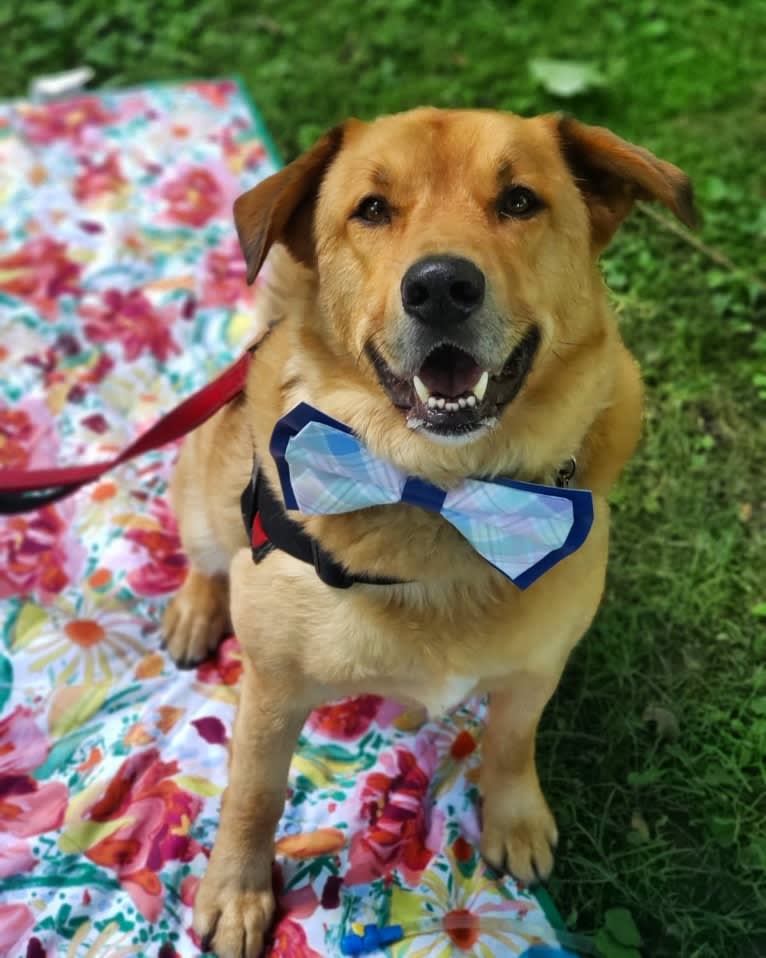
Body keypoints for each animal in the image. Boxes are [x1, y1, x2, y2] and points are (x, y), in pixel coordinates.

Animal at [160, 107, 696, 958]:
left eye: (519, 200)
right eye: (373, 209)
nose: (442, 286)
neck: (443, 494)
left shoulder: (537, 668)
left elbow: (509, 743)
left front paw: (513, 820)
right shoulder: (273, 691)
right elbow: (252, 794)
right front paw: (237, 893)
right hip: (206, 499)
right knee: (205, 556)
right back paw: (194, 608)